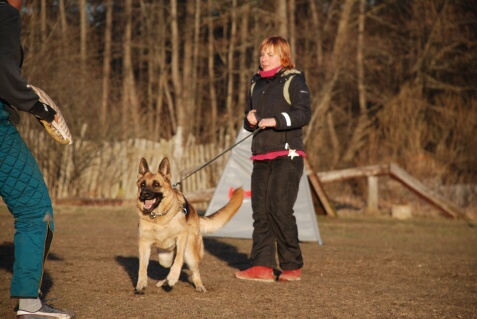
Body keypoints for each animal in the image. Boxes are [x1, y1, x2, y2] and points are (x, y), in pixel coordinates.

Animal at [136, 156, 244, 294]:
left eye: (156, 184)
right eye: (143, 184)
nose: (144, 194)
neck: (158, 218)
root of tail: (195, 214)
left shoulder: (182, 236)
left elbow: (178, 260)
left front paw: (173, 277)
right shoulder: (144, 244)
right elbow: (142, 266)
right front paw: (141, 283)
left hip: (190, 253)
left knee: (194, 270)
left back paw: (197, 285)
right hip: (165, 257)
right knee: (168, 265)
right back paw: (164, 281)